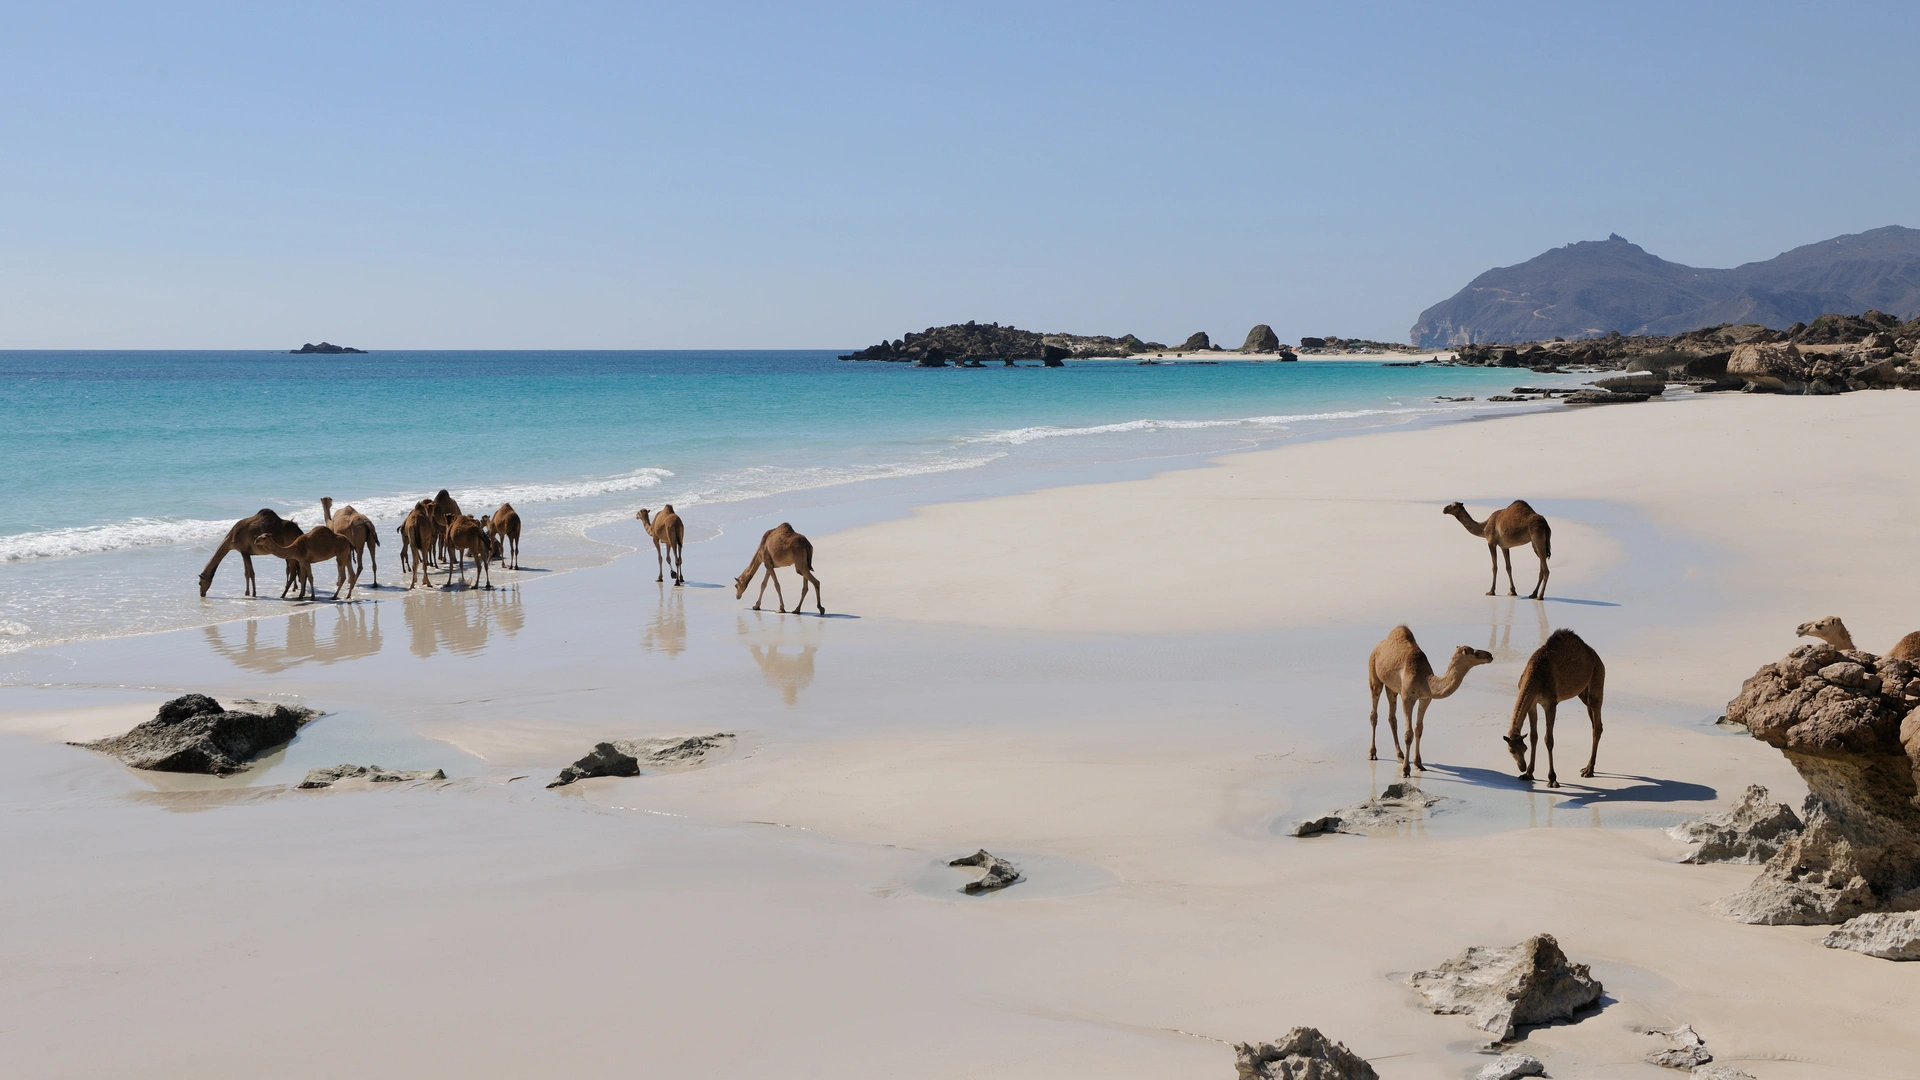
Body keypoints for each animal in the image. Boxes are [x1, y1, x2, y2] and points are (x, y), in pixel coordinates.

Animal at [1367, 622, 1497, 772]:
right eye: (1475, 653)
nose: (1490, 655)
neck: (1424, 679)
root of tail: (1379, 645)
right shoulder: (1407, 698)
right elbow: (1408, 734)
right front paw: (1406, 770)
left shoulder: (1425, 698)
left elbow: (1418, 729)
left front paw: (1418, 764)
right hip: (1374, 673)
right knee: (1374, 712)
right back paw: (1372, 754)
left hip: (1391, 687)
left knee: (1392, 717)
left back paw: (1400, 756)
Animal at [1497, 626, 1605, 787]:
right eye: (1511, 750)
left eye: (1524, 749)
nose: (1521, 766)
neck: (1535, 675)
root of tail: (1596, 656)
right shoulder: (1533, 703)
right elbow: (1533, 736)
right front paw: (1528, 774)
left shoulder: (1550, 704)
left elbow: (1549, 739)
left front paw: (1552, 779)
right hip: (1583, 694)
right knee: (1595, 724)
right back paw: (1587, 768)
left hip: (1597, 679)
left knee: (1597, 726)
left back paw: (1588, 771)